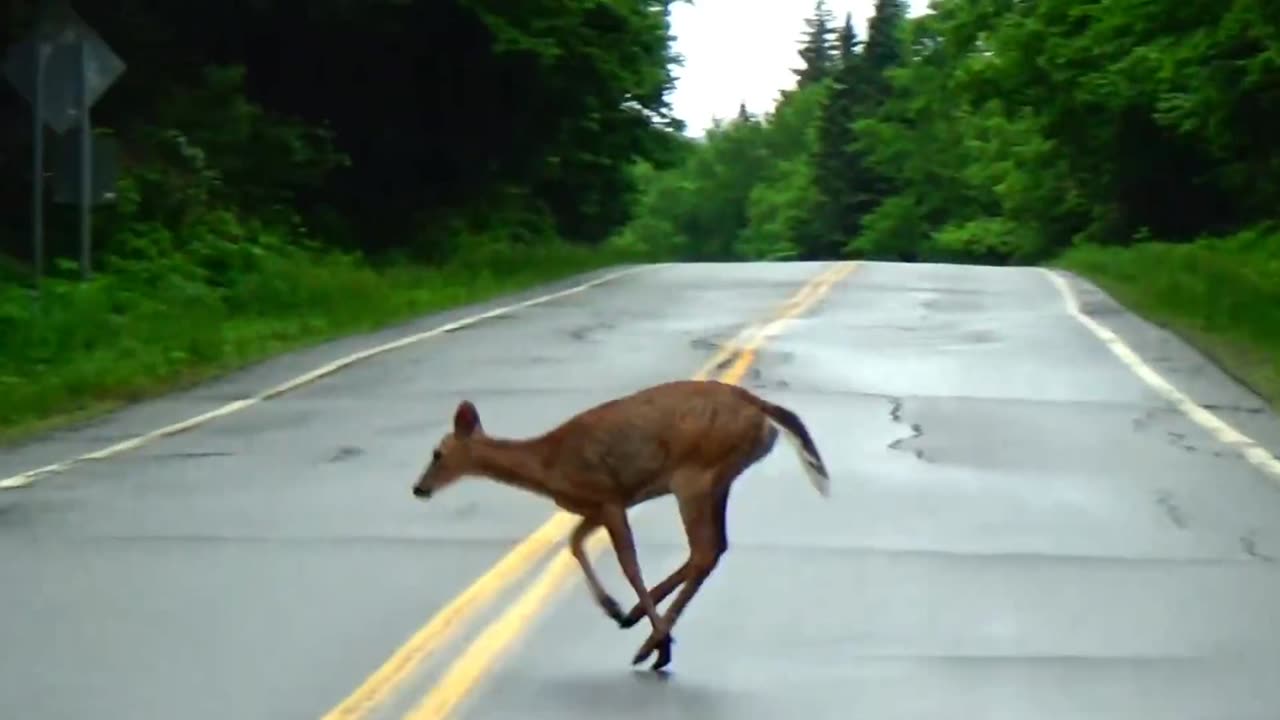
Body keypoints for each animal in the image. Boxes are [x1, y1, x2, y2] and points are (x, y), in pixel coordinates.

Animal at [407, 379, 829, 671]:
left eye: (437, 453)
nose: (419, 488)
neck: (548, 464)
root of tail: (762, 408)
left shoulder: (608, 496)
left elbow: (628, 563)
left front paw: (646, 630)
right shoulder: (600, 504)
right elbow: (574, 542)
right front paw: (613, 608)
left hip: (694, 474)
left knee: (704, 551)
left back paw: (652, 645)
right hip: (719, 478)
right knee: (715, 548)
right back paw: (640, 623)